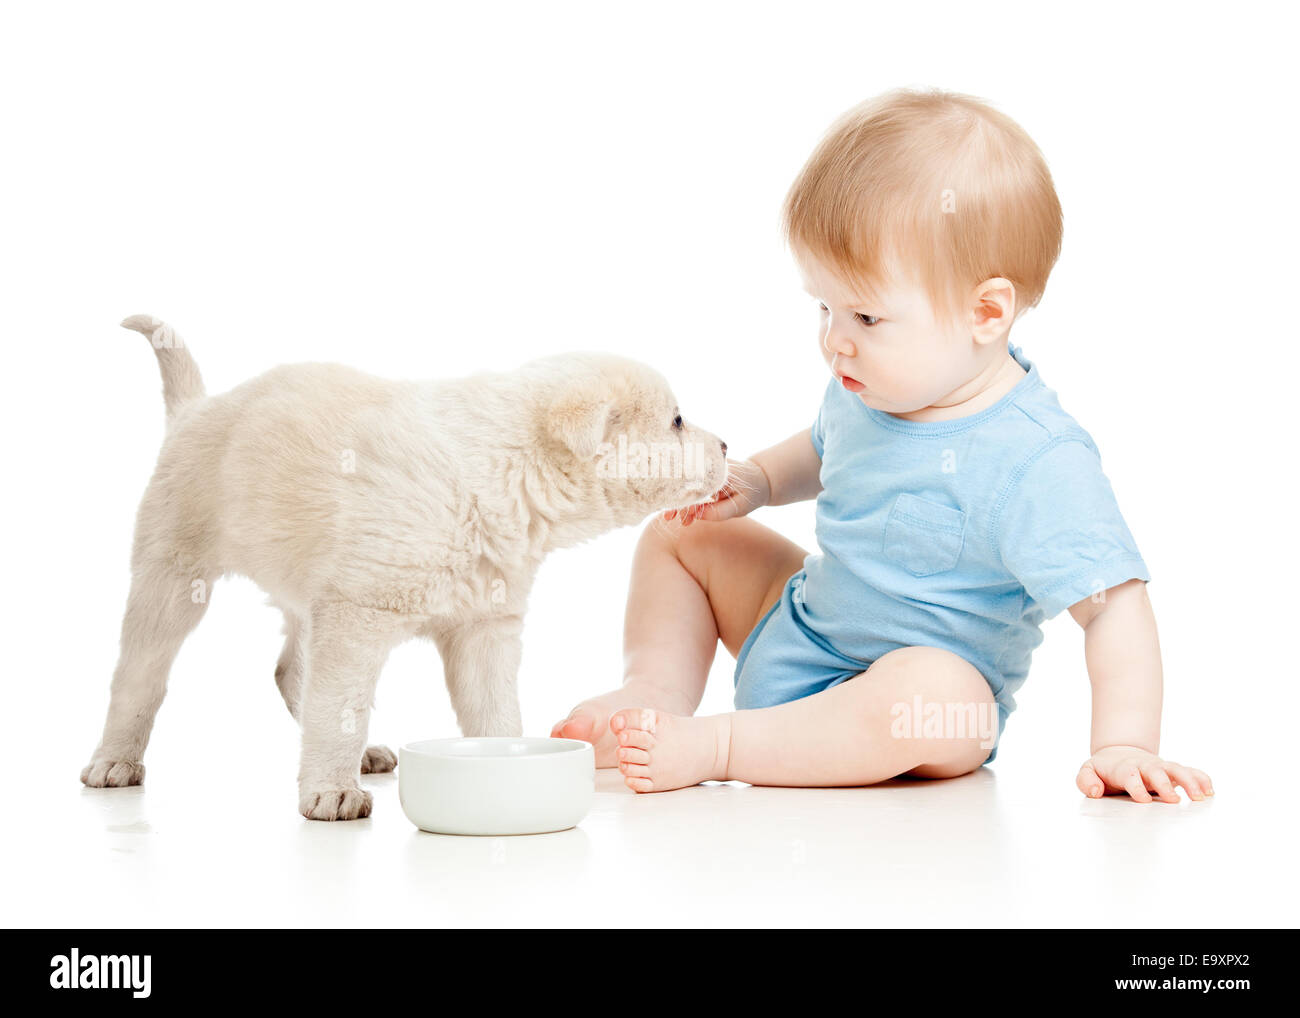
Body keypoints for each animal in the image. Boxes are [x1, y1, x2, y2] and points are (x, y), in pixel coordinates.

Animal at [83, 315, 733, 821]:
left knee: (292, 671)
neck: (504, 471)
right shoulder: (358, 614)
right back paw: (114, 760)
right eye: (677, 422)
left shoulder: (483, 627)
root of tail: (195, 409)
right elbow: (338, 706)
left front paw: (509, 762)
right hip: (172, 575)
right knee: (139, 677)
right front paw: (330, 791)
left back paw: (367, 751)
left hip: (305, 593)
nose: (727, 445)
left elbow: (493, 712)